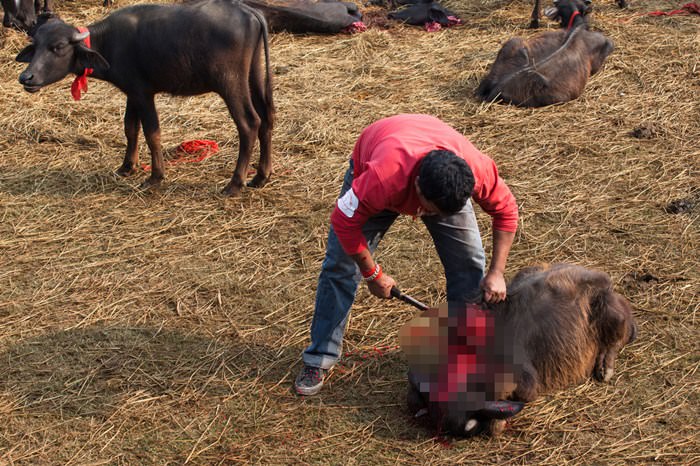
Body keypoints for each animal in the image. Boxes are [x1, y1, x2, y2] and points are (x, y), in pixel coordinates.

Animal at [15, 0, 274, 195]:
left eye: (58, 47)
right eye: (35, 46)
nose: (26, 77)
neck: (109, 43)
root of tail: (249, 13)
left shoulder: (144, 94)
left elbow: (152, 133)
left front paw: (155, 176)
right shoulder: (133, 93)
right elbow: (130, 128)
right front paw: (127, 166)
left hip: (230, 83)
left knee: (249, 123)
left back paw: (235, 184)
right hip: (255, 74)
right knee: (267, 118)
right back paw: (261, 176)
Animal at [400, 262, 636, 436]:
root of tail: (604, 281)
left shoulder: (526, 384)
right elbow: (413, 399)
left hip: (613, 316)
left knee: (617, 340)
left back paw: (604, 369)